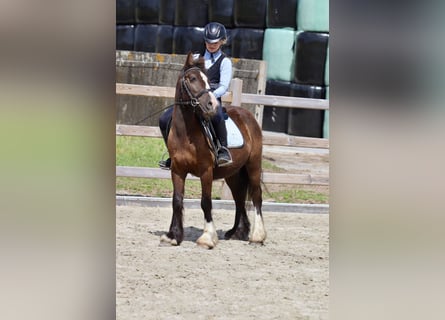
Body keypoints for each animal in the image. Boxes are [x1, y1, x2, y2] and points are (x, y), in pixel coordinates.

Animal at [159, 52, 264, 249]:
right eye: (192, 79)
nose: (211, 105)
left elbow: (205, 202)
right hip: (233, 173)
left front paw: (207, 238)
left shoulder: (206, 171)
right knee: (239, 198)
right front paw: (173, 236)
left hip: (253, 165)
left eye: (208, 80)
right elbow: (177, 200)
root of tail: (248, 116)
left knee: (256, 196)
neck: (186, 134)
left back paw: (257, 236)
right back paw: (237, 232)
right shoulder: (177, 170)